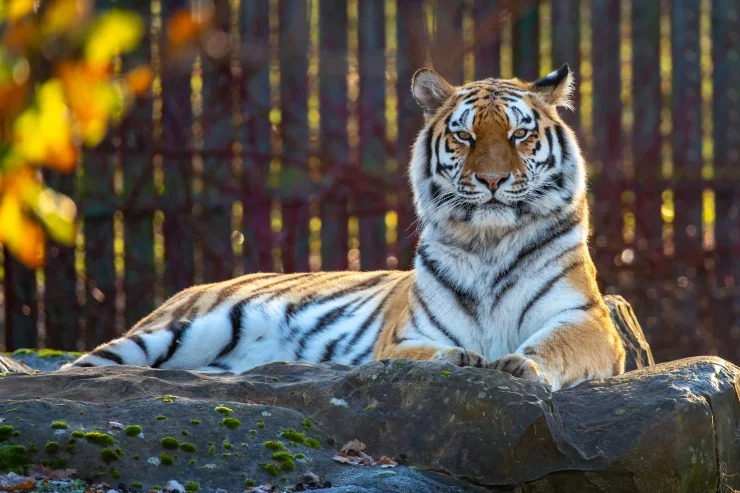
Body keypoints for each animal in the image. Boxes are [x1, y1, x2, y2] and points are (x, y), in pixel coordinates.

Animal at [62, 63, 626, 391]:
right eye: (465, 136)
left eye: (518, 136)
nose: (491, 180)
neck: (489, 241)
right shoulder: (406, 337)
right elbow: (429, 354)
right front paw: (464, 360)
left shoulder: (585, 319)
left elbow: (555, 345)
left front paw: (520, 365)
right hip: (178, 331)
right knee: (82, 367)